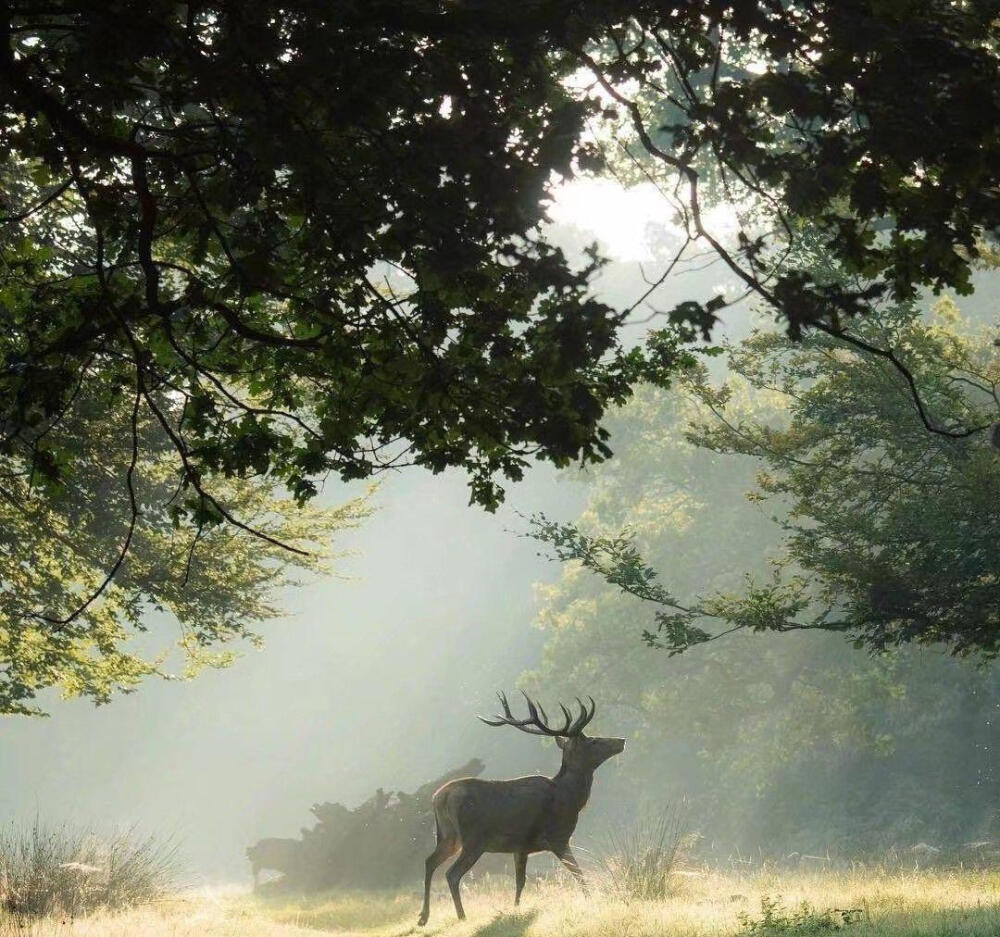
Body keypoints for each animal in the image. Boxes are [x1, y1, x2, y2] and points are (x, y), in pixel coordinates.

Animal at [416, 692, 624, 924]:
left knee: (429, 861)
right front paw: (591, 900)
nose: (621, 741)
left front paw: (515, 909)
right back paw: (461, 916)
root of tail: (439, 798)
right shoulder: (558, 837)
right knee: (451, 874)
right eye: (594, 741)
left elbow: (520, 882)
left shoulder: (521, 847)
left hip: (448, 837)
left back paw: (424, 916)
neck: (570, 797)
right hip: (473, 840)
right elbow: (577, 872)